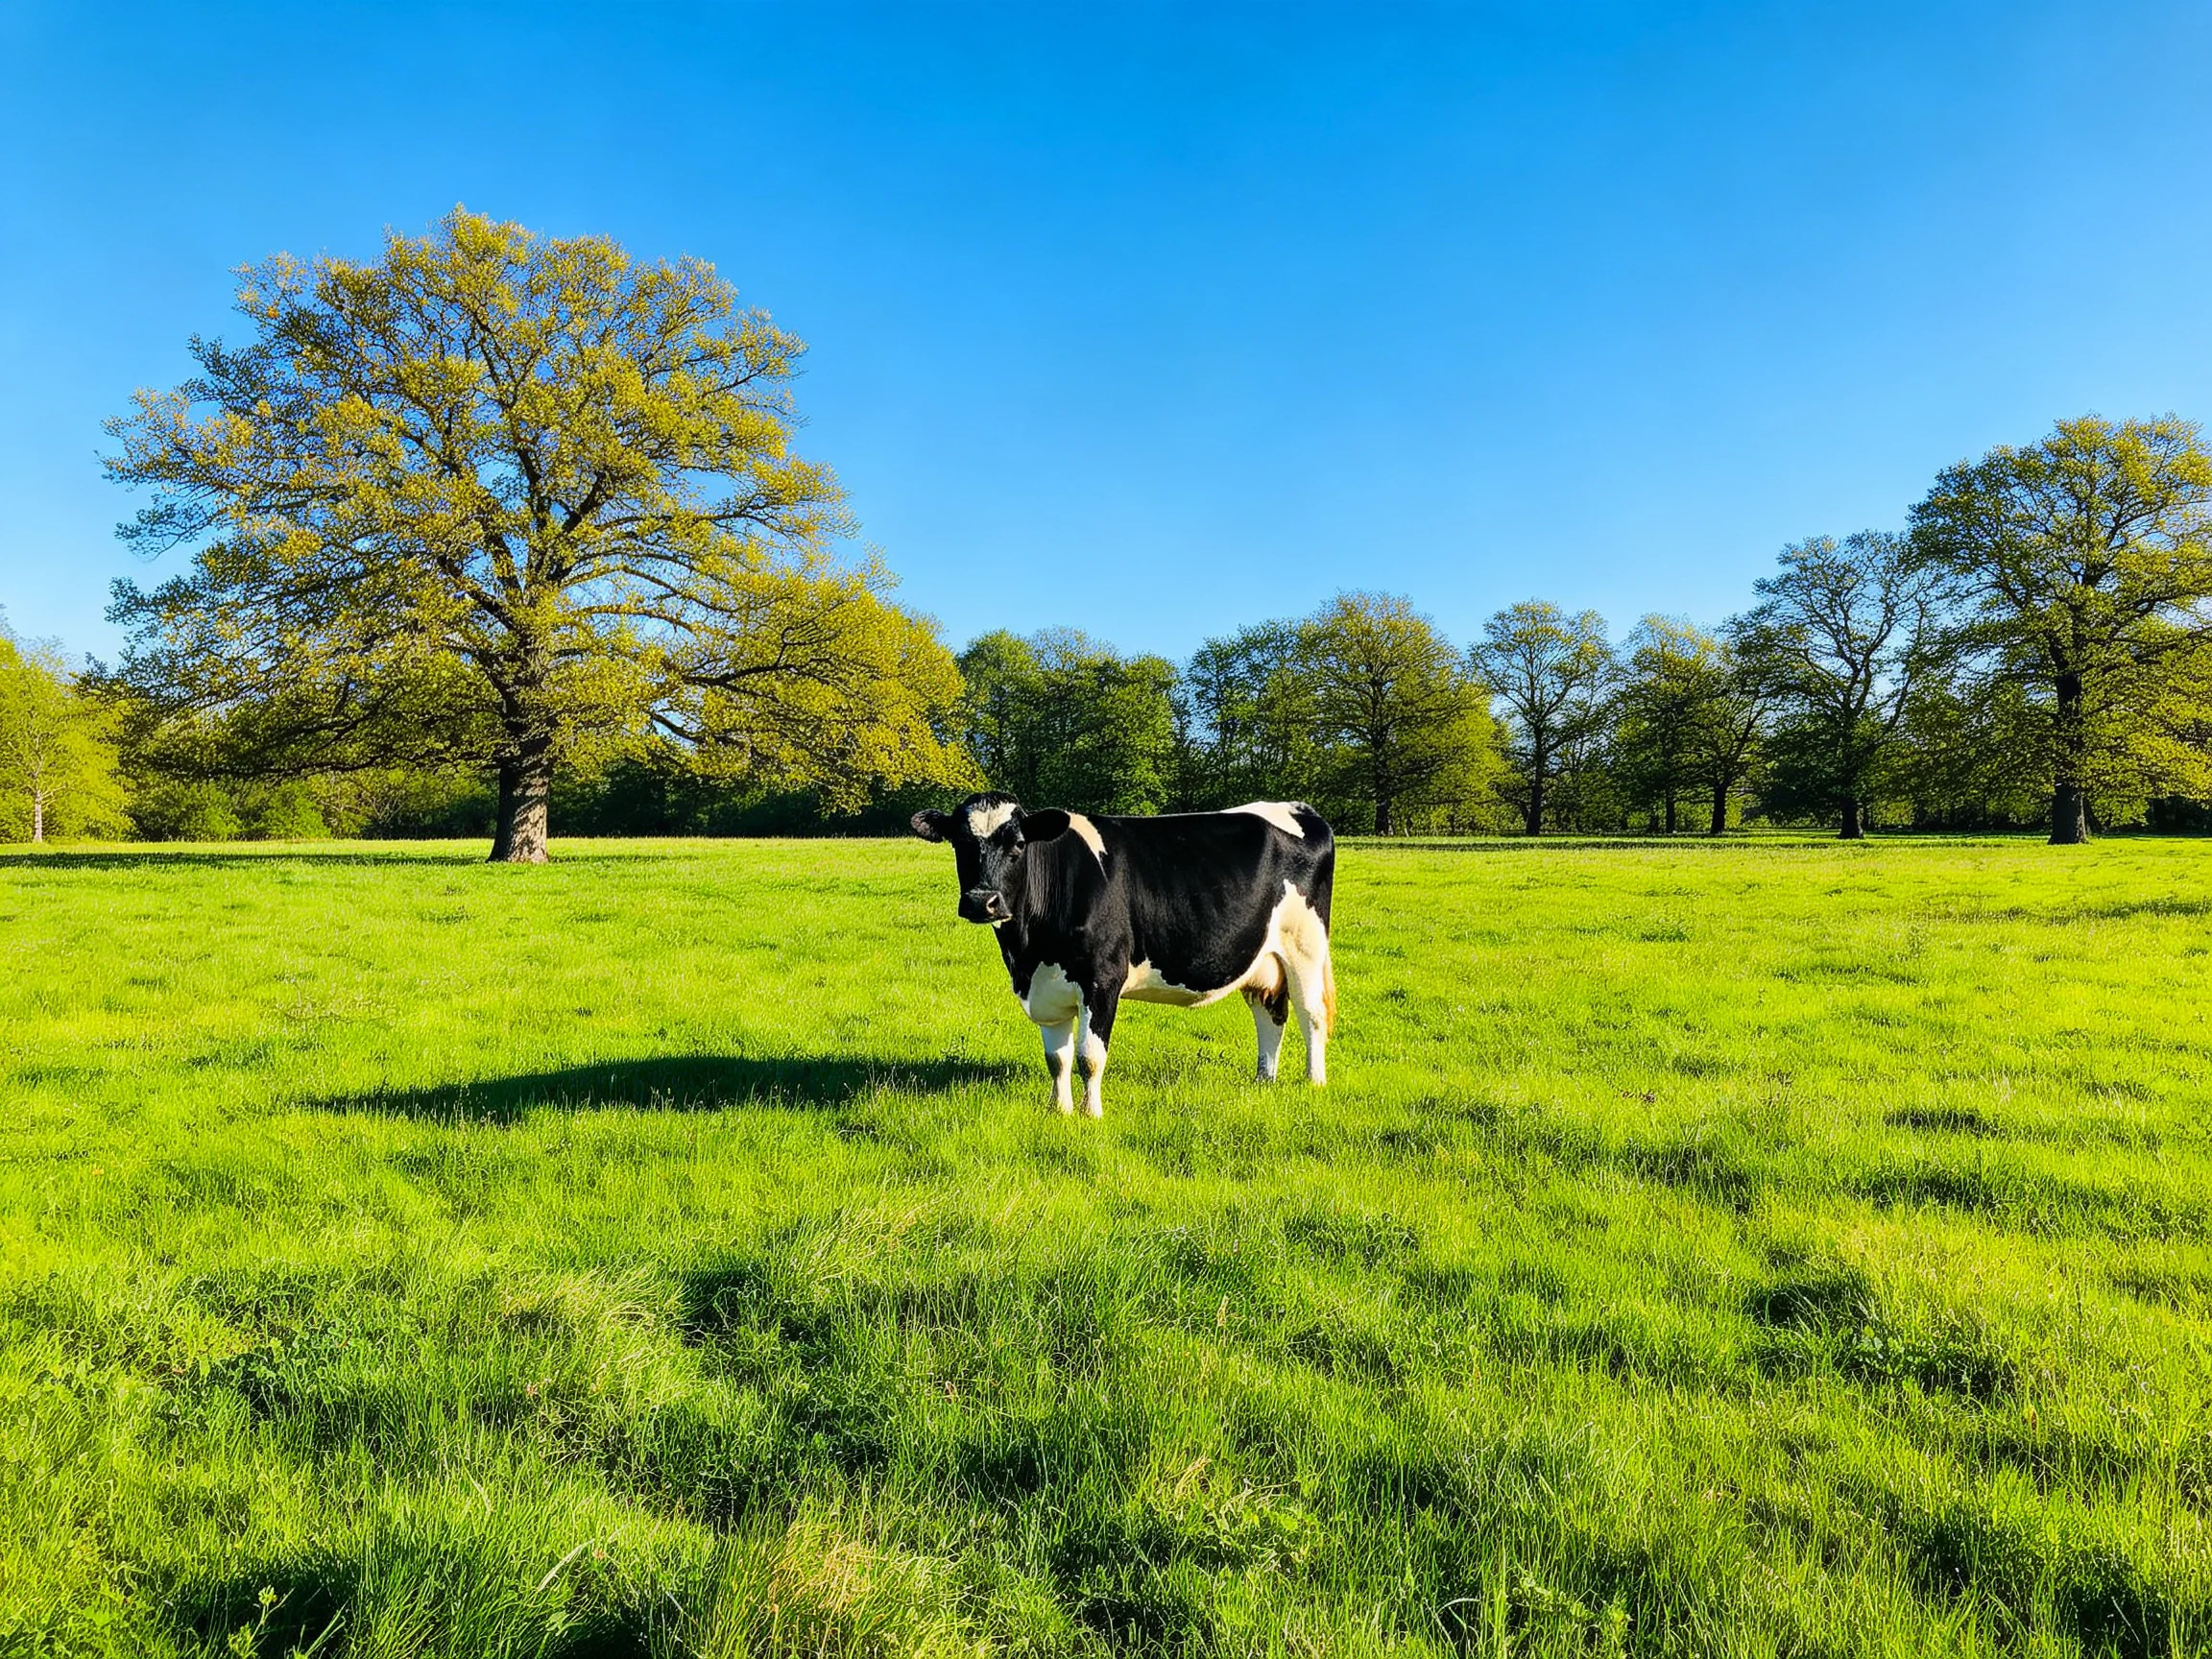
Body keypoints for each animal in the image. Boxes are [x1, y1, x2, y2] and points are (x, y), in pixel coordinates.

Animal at [910, 793, 1336, 1117]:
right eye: (960, 843)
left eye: (1017, 844)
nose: (982, 901)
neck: (1028, 952)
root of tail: (1300, 809)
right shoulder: (1046, 987)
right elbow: (1057, 1059)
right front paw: (1059, 1110)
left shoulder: (1102, 979)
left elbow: (1089, 1056)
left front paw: (1091, 1114)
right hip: (1264, 958)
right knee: (1270, 1013)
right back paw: (1265, 1080)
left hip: (1306, 945)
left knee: (1310, 1013)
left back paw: (1314, 1081)